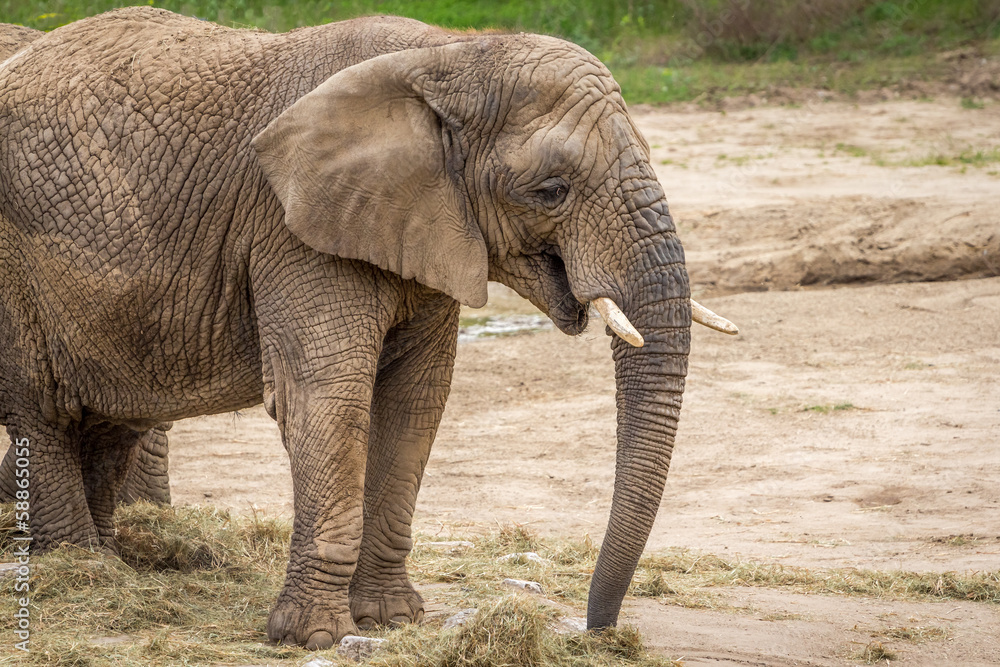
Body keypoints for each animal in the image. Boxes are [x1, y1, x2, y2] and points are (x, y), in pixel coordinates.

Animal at [0, 7, 735, 648]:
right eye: (550, 190)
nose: (598, 628)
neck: (448, 54)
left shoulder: (424, 229)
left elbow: (416, 403)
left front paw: (390, 619)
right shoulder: (292, 229)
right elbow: (331, 397)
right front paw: (313, 636)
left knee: (108, 419)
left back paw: (106, 560)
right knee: (43, 411)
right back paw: (84, 572)